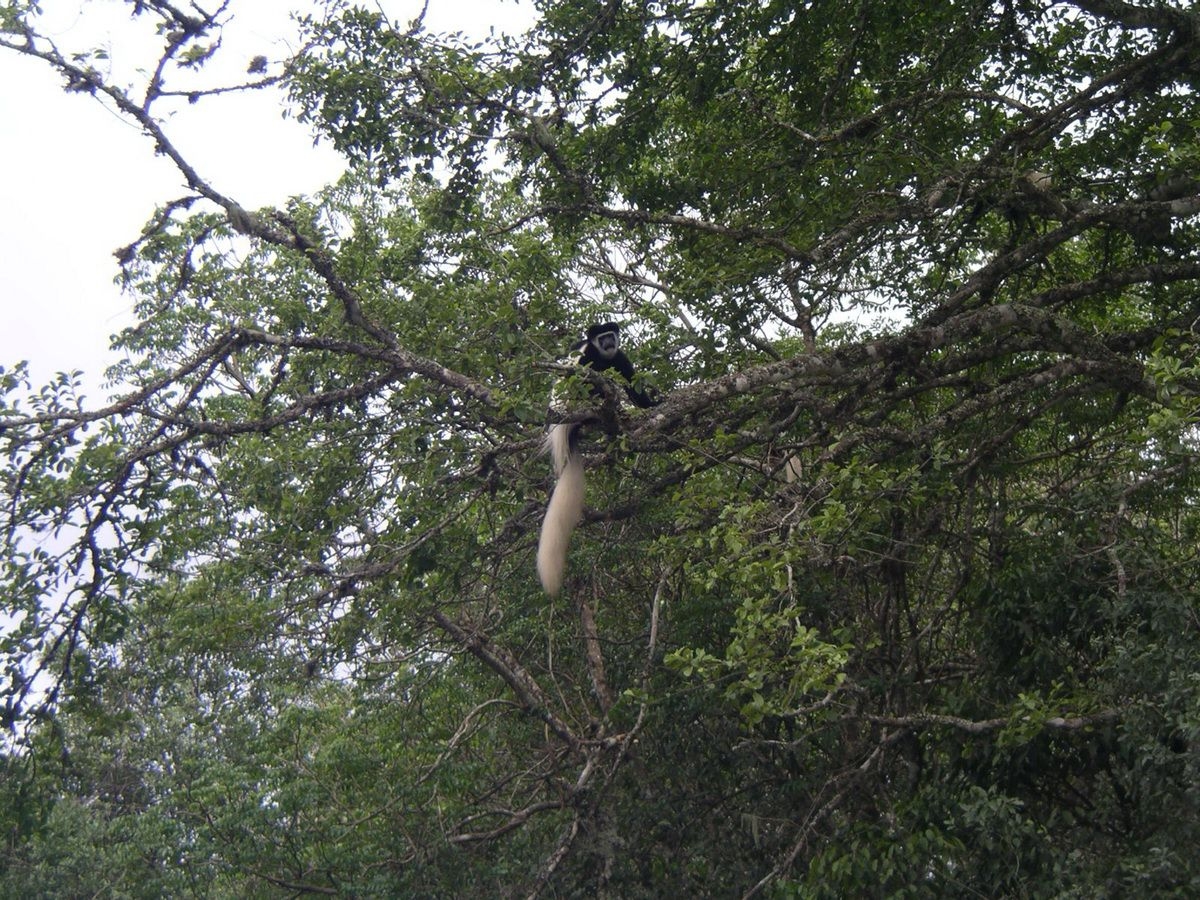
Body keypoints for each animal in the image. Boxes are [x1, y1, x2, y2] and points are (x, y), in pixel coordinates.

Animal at [540, 321, 662, 595]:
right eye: (602, 338)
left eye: (610, 336)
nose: (608, 343)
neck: (604, 355)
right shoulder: (589, 357)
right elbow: (584, 376)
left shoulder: (620, 357)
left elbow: (633, 385)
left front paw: (651, 405)